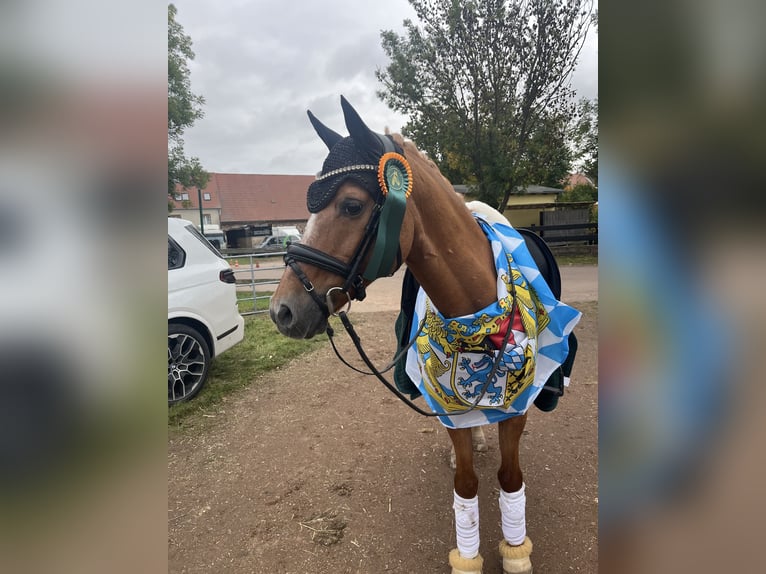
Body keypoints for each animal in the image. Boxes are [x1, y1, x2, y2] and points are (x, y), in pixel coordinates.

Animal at [270, 96, 580, 574]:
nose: (281, 311)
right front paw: (468, 558)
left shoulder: (518, 405)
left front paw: (516, 553)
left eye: (352, 206)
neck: (476, 315)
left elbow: (511, 478)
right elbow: (465, 484)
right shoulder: (448, 405)